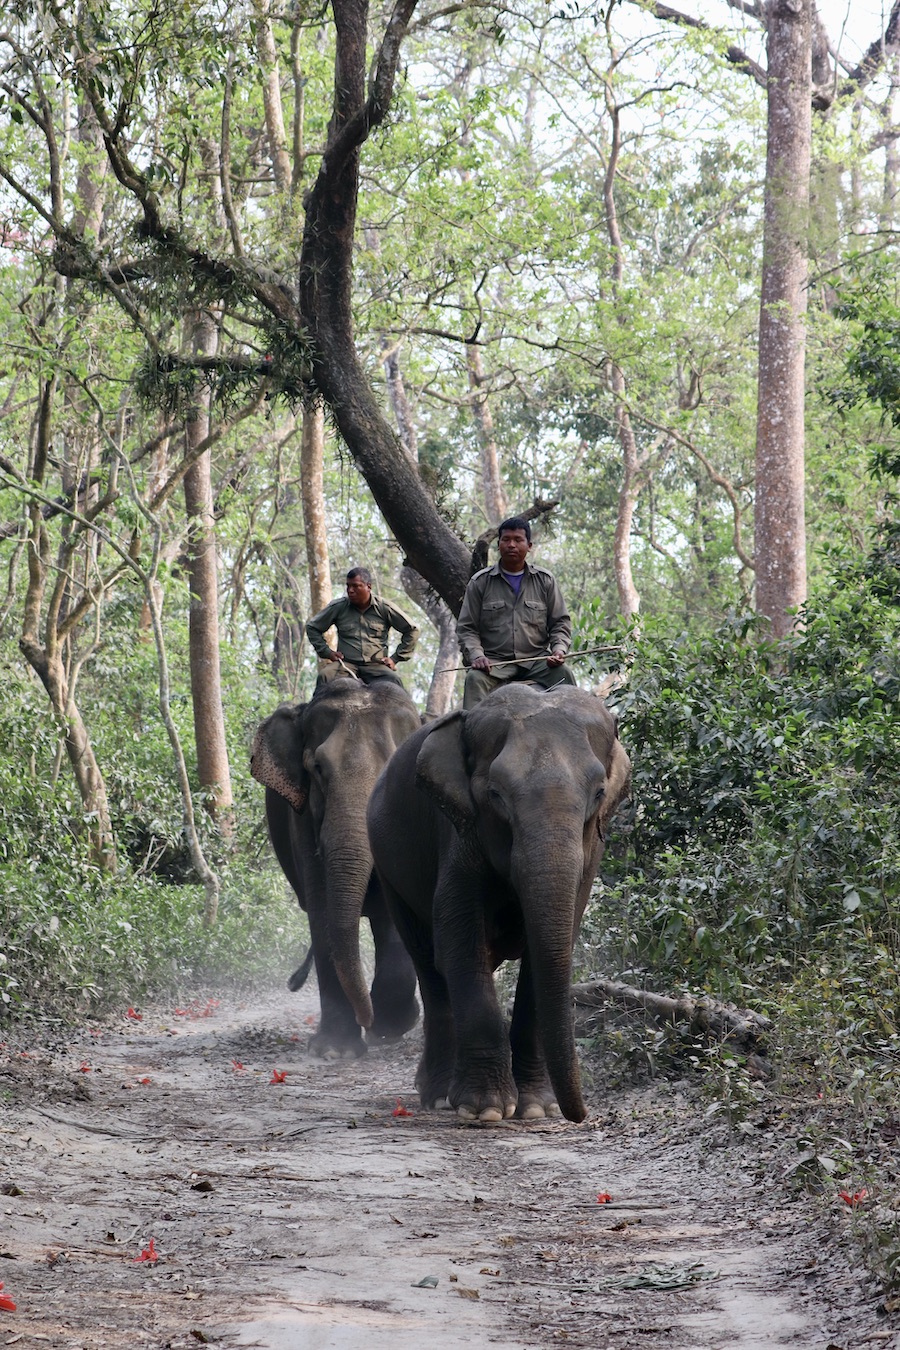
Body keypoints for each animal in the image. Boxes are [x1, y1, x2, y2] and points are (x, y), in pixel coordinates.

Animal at [250, 679, 422, 1058]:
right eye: (317, 769)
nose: (365, 1019)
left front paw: (389, 1027)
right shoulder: (301, 820)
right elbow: (322, 907)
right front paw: (335, 1050)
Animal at [367, 683, 631, 1122]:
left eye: (598, 794)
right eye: (496, 795)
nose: (580, 1114)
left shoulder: (591, 852)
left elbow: (553, 947)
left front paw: (537, 1107)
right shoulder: (458, 833)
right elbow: (458, 935)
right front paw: (484, 1110)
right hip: (389, 867)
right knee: (428, 963)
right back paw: (438, 1095)